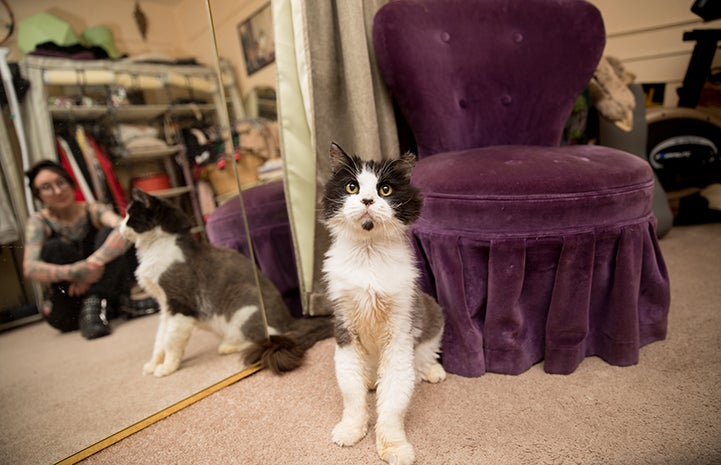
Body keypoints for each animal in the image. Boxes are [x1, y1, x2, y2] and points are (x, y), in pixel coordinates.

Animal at [120, 188, 332, 376]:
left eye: (128, 215)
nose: (119, 226)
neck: (153, 251)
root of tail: (290, 319)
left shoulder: (180, 306)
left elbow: (171, 341)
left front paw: (167, 368)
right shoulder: (165, 308)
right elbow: (159, 341)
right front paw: (153, 364)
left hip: (243, 301)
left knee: (269, 336)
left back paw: (228, 346)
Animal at [320, 142, 444, 464]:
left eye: (385, 189)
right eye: (352, 187)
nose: (366, 199)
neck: (369, 252)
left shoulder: (400, 333)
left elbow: (393, 403)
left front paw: (394, 447)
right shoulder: (345, 330)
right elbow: (352, 394)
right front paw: (352, 429)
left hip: (433, 315)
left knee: (423, 358)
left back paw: (431, 371)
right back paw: (370, 380)